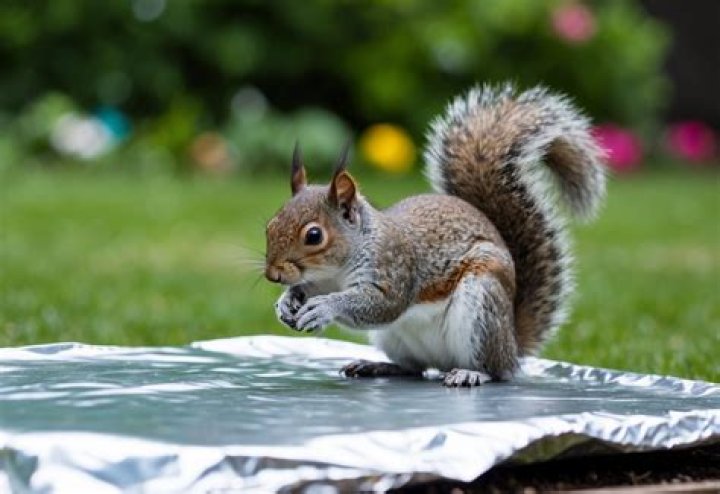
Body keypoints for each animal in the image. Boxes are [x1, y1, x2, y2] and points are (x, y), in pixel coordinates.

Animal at [264, 84, 606, 387]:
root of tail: (512, 343)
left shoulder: (394, 269)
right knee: (415, 369)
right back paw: (378, 366)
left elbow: (380, 305)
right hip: (395, 338)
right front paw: (286, 302)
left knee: (496, 371)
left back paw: (472, 373)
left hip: (482, 307)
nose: (272, 275)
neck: (334, 272)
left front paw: (325, 307)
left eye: (314, 236)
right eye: (269, 226)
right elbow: (304, 290)